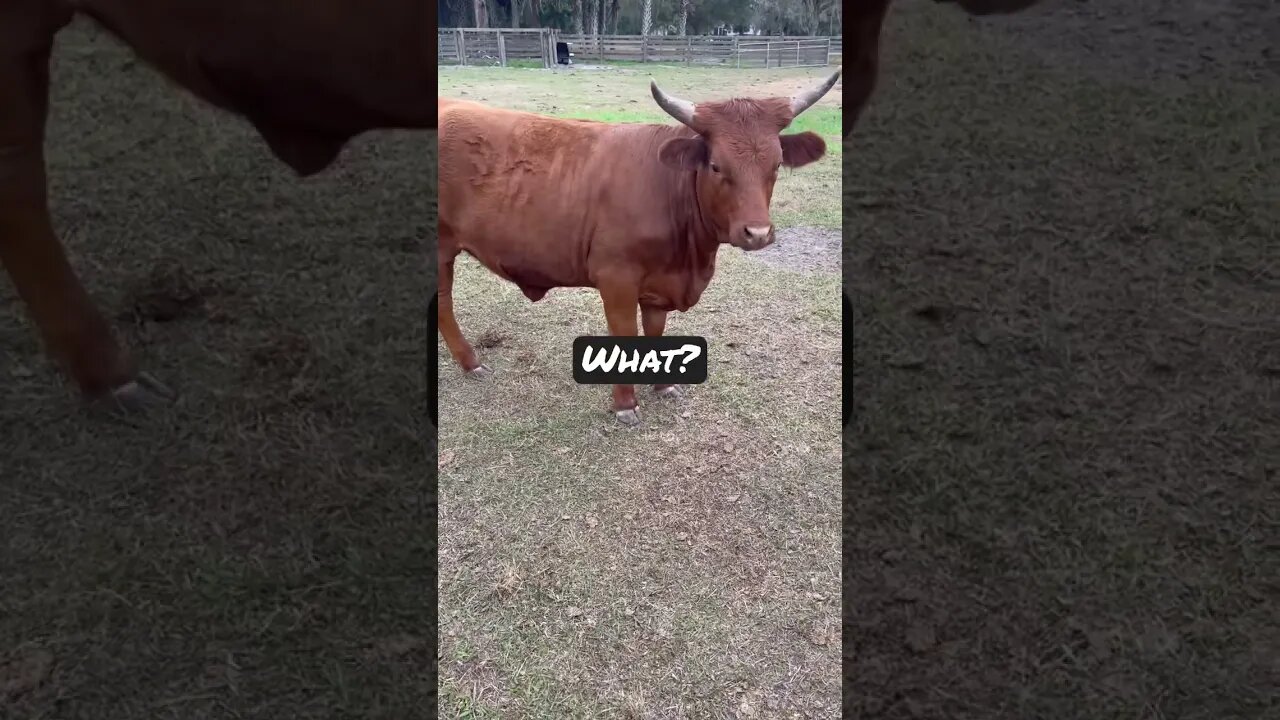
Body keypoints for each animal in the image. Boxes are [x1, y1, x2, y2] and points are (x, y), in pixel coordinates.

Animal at [437, 71, 839, 425]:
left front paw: (663, 386)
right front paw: (625, 404)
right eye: (715, 165)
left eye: (776, 165)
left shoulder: (659, 283)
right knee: (444, 303)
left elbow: (655, 330)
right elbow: (625, 332)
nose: (757, 233)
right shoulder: (616, 278)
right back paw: (471, 362)